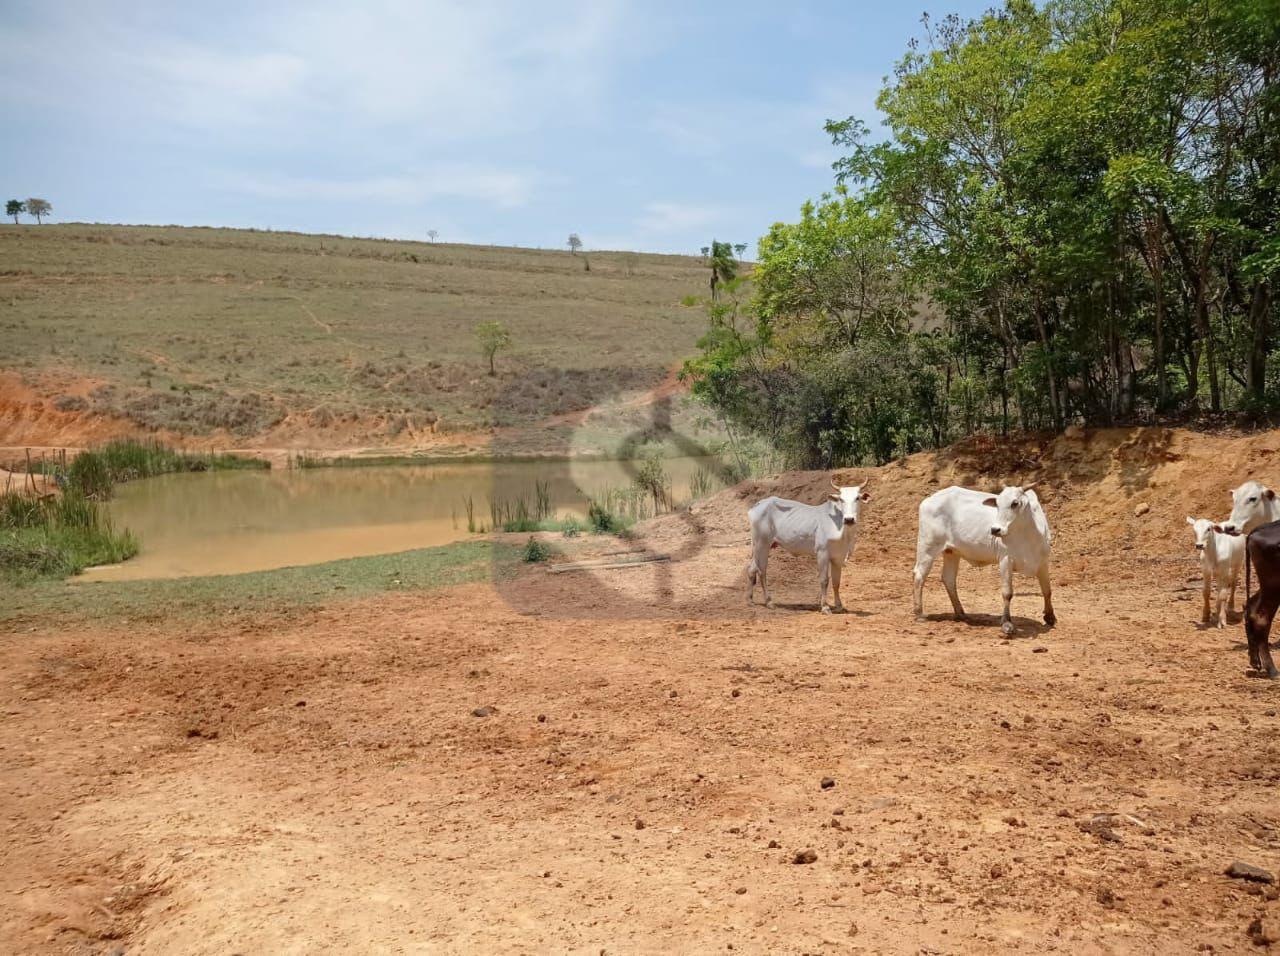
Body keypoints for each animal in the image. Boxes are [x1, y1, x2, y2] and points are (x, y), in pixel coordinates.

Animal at [747, 476, 870, 614]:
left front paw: (839, 606)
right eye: (841, 499)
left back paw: (750, 600)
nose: (849, 519)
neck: (842, 529)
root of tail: (759, 504)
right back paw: (769, 601)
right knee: (762, 571)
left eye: (857, 498)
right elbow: (824, 580)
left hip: (759, 546)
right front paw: (825, 606)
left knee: (751, 569)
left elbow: (836, 582)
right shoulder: (822, 553)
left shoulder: (838, 557)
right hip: (762, 543)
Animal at [916, 486, 1054, 634]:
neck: (1027, 535)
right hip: (928, 546)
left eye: (1015, 503)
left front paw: (1050, 617)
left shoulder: (1043, 563)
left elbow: (1047, 590)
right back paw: (919, 613)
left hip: (951, 552)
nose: (995, 530)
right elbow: (1007, 593)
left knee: (949, 579)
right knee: (919, 575)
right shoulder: (1005, 560)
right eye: (997, 504)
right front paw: (1006, 623)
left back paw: (960, 613)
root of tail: (929, 499)